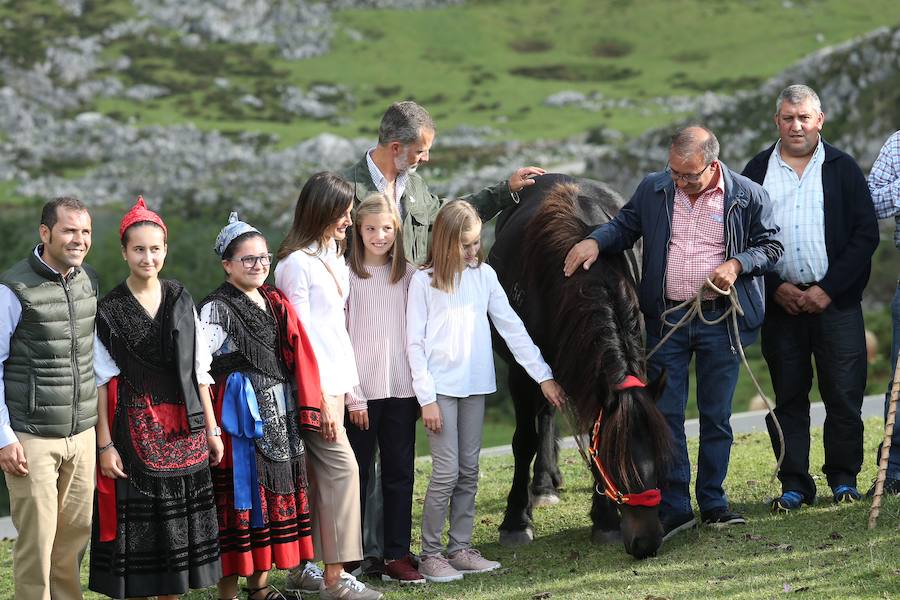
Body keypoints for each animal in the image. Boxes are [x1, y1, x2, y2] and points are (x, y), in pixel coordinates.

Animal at [488, 173, 672, 556]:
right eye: (617, 465)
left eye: (661, 458)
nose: (647, 543)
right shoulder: (521, 371)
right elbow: (523, 440)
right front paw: (516, 521)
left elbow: (591, 428)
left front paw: (605, 519)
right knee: (542, 417)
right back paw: (542, 486)